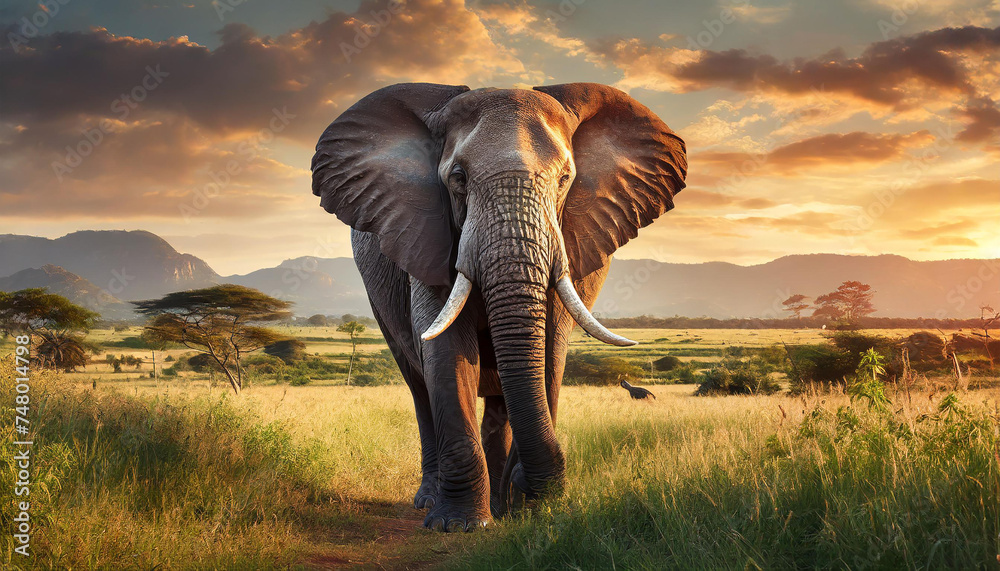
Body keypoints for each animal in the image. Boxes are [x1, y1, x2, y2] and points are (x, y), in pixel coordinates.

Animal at [311, 82, 687, 532]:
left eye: (565, 179)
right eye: (458, 178)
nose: (527, 491)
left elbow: (550, 352)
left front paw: (526, 509)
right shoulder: (427, 236)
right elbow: (446, 351)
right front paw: (458, 525)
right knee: (419, 387)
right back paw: (435, 500)